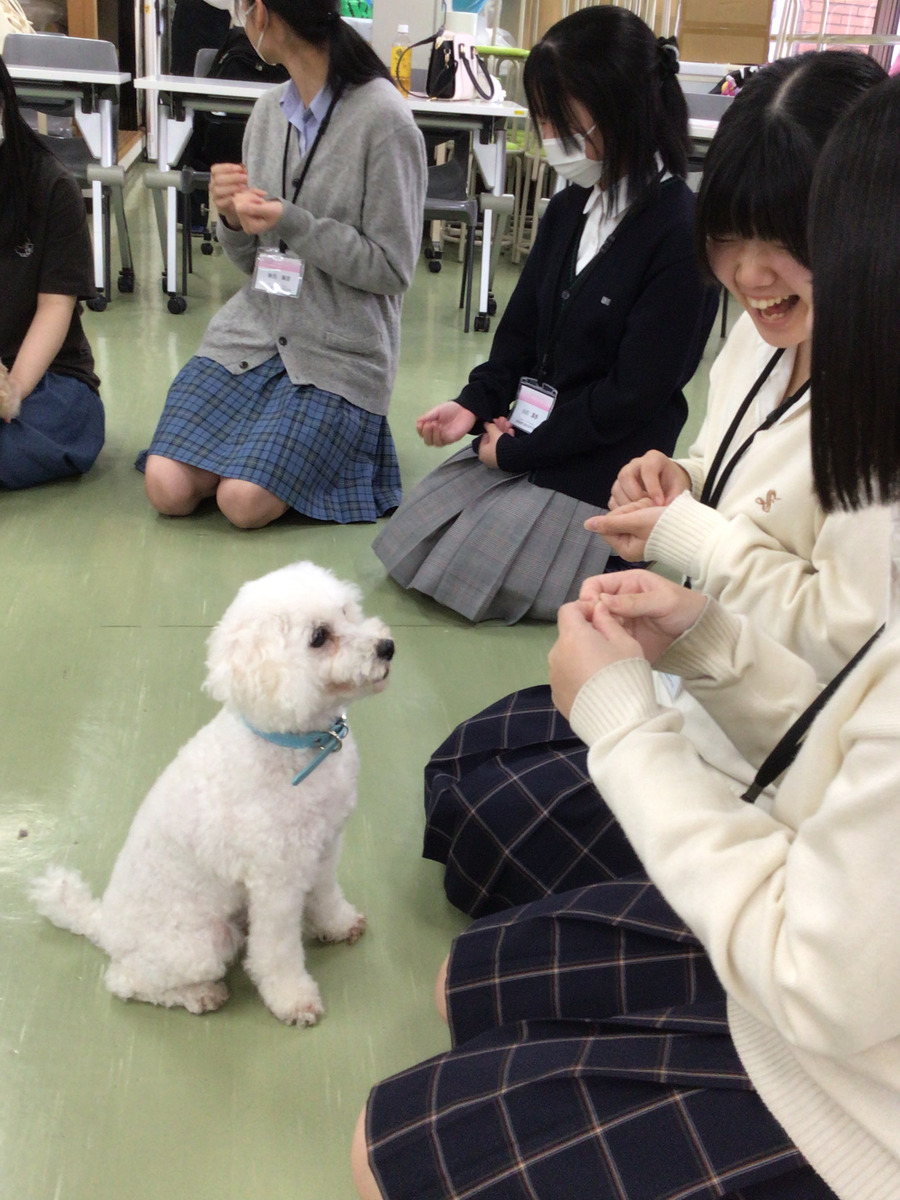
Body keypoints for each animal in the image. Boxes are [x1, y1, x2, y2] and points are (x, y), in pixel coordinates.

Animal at [31, 562, 393, 1025]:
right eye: (318, 637)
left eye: (347, 611)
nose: (387, 646)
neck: (295, 745)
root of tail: (103, 923)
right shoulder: (276, 882)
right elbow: (276, 952)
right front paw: (293, 999)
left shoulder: (323, 850)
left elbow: (327, 896)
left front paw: (338, 924)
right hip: (204, 942)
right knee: (124, 981)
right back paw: (200, 994)